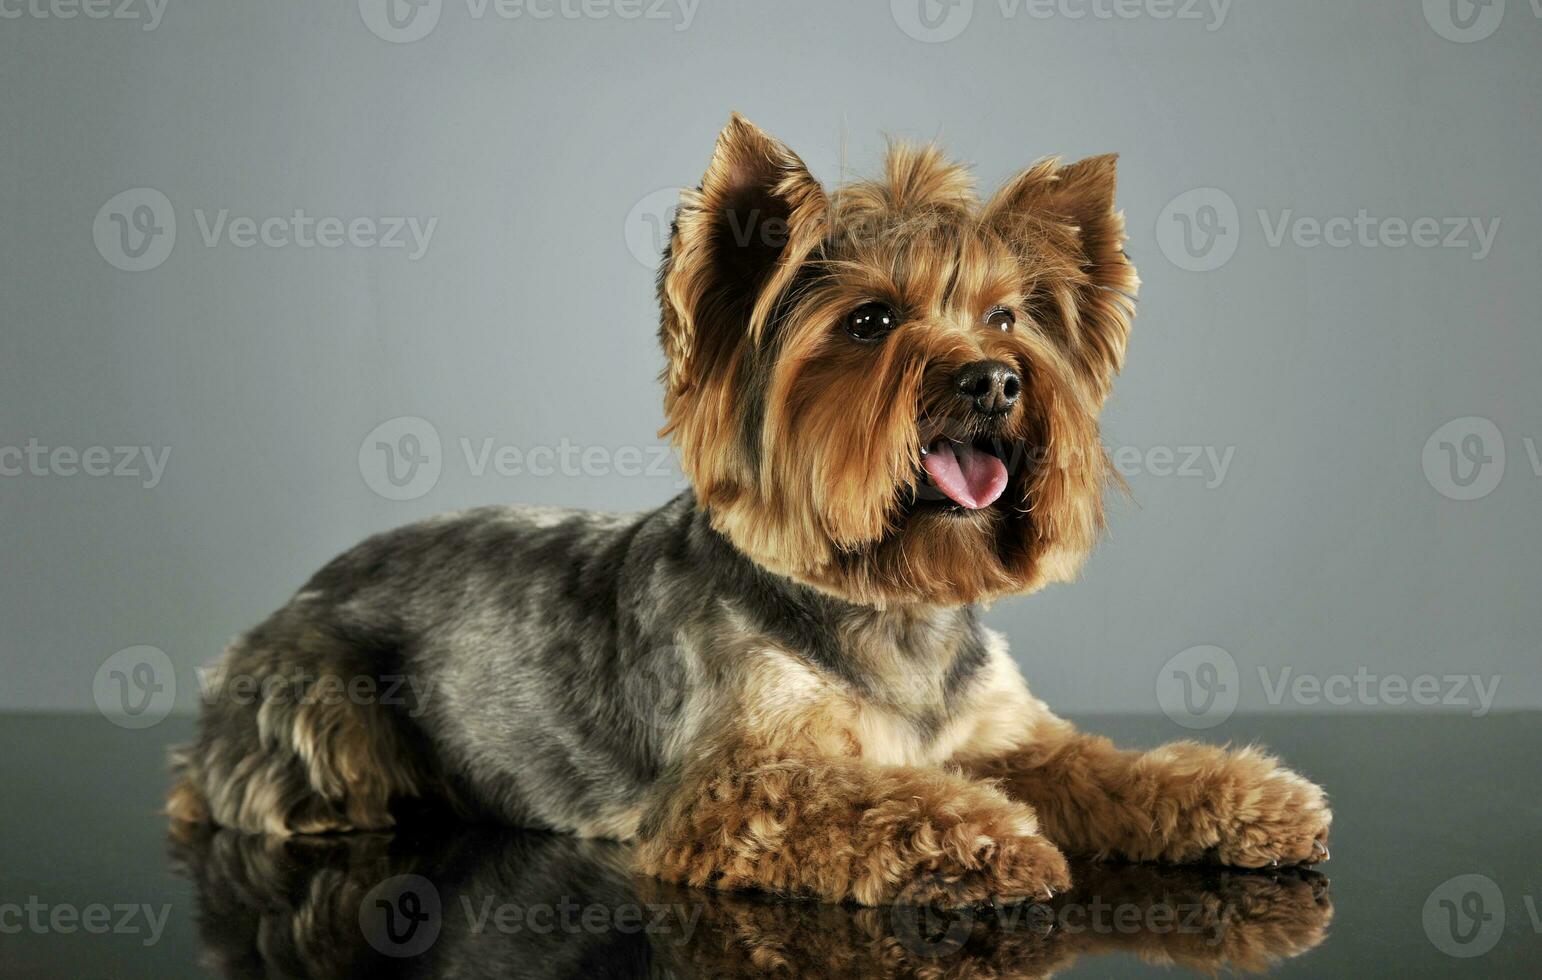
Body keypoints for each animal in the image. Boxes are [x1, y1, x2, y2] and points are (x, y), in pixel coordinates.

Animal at [165, 117, 1326, 912]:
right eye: (871, 322)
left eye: (1007, 318)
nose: (995, 380)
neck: (891, 602)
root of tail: (302, 589)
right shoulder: (739, 783)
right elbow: (877, 797)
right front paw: (993, 840)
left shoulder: (999, 730)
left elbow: (1100, 765)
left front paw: (1243, 797)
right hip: (322, 701)